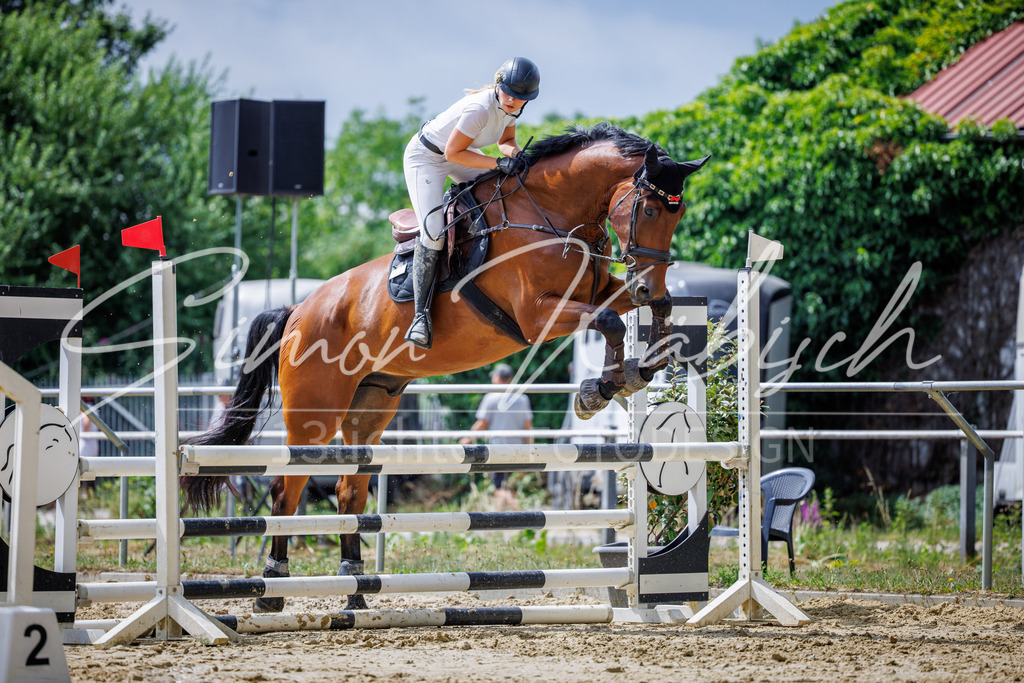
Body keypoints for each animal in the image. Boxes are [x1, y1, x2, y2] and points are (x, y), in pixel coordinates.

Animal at [182, 122, 709, 612]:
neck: (550, 215)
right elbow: (609, 321)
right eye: (649, 209)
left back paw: (355, 592)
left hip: (371, 406)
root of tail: (297, 311)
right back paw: (272, 588)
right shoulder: (537, 315)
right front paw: (600, 388)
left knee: (349, 492)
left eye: (678, 213)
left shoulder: (597, 292)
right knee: (286, 489)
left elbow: (641, 311)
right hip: (315, 414)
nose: (648, 283)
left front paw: (640, 366)